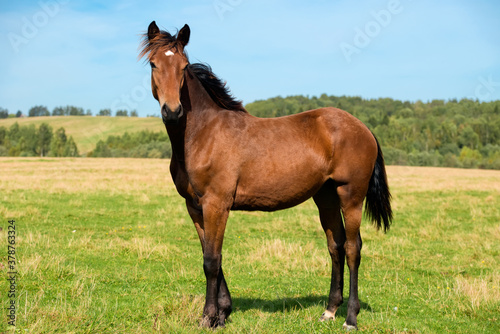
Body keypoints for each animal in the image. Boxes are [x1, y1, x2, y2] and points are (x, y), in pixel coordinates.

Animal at [139, 21, 392, 332]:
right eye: (153, 64)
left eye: (184, 67)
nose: (173, 111)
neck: (203, 133)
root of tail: (363, 128)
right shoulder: (195, 207)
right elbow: (210, 255)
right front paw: (223, 313)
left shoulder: (216, 204)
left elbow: (211, 260)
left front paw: (209, 317)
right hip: (326, 197)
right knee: (337, 246)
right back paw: (330, 310)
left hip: (351, 195)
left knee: (354, 248)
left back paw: (350, 318)